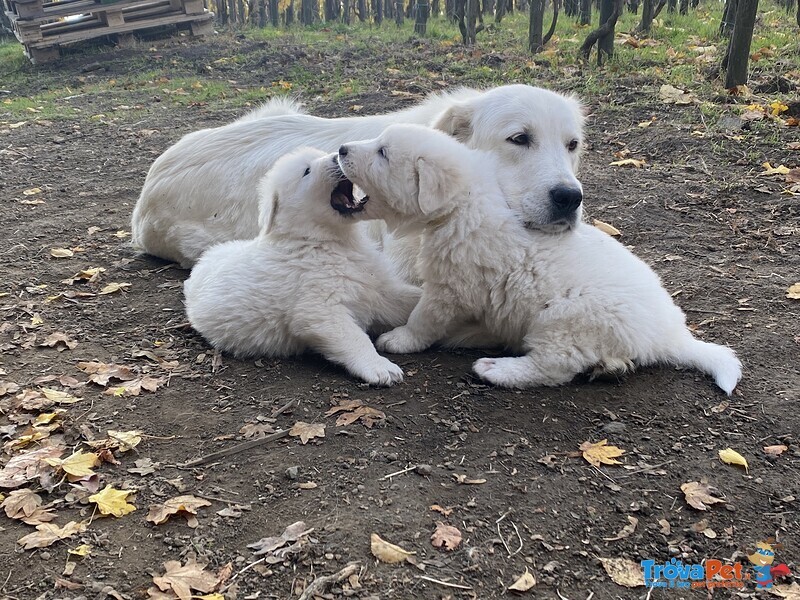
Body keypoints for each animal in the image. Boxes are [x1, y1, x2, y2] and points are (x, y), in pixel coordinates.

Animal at [181, 148, 418, 386]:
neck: (325, 240)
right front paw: (380, 367)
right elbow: (354, 337)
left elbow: (407, 299)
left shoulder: (378, 289)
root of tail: (199, 266)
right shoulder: (319, 309)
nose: (336, 155)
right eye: (307, 171)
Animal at [334, 123, 740, 394]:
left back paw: (497, 368)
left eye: (383, 152)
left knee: (555, 367)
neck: (463, 206)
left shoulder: (451, 289)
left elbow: (423, 320)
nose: (341, 149)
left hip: (566, 320)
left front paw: (400, 339)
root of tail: (670, 334)